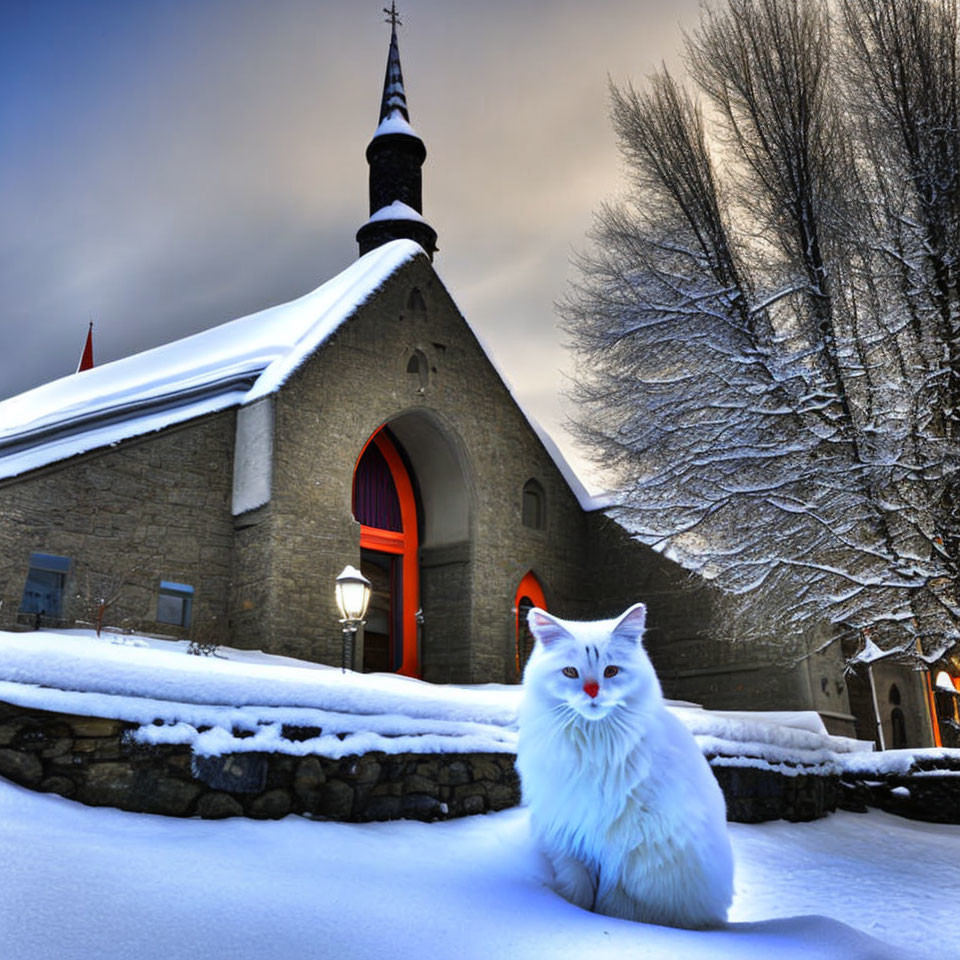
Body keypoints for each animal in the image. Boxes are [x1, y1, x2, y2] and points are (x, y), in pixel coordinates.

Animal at [516, 604, 736, 928]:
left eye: (611, 671)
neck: (593, 747)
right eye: (570, 672)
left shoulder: (621, 848)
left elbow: (610, 904)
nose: (592, 691)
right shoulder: (569, 839)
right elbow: (577, 890)